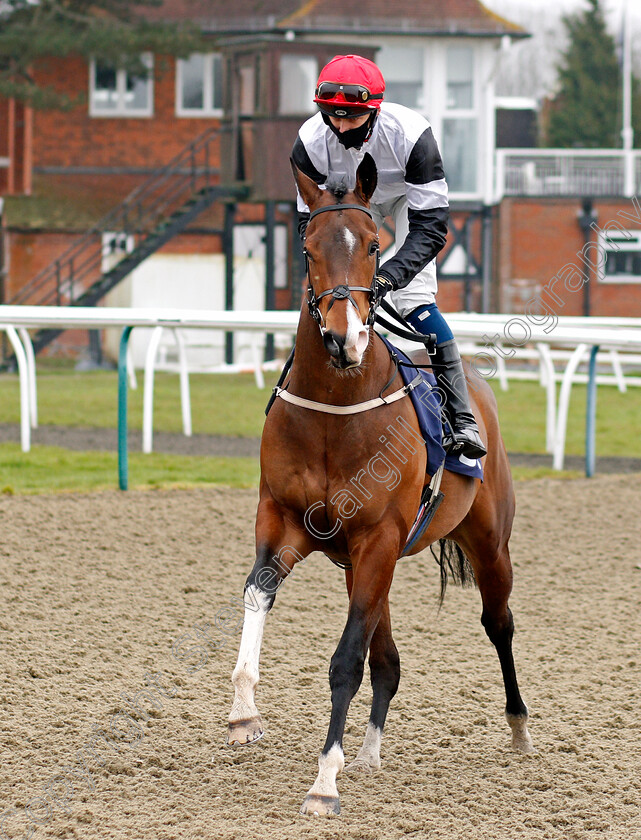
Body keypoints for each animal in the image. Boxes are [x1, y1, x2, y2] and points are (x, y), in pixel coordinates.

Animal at [224, 154, 528, 816]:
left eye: (373, 245)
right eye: (307, 248)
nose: (347, 338)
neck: (337, 410)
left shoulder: (378, 538)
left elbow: (345, 661)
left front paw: (323, 782)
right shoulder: (284, 522)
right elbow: (257, 596)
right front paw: (243, 713)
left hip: (488, 543)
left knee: (498, 623)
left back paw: (520, 728)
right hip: (363, 565)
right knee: (387, 660)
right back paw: (368, 752)